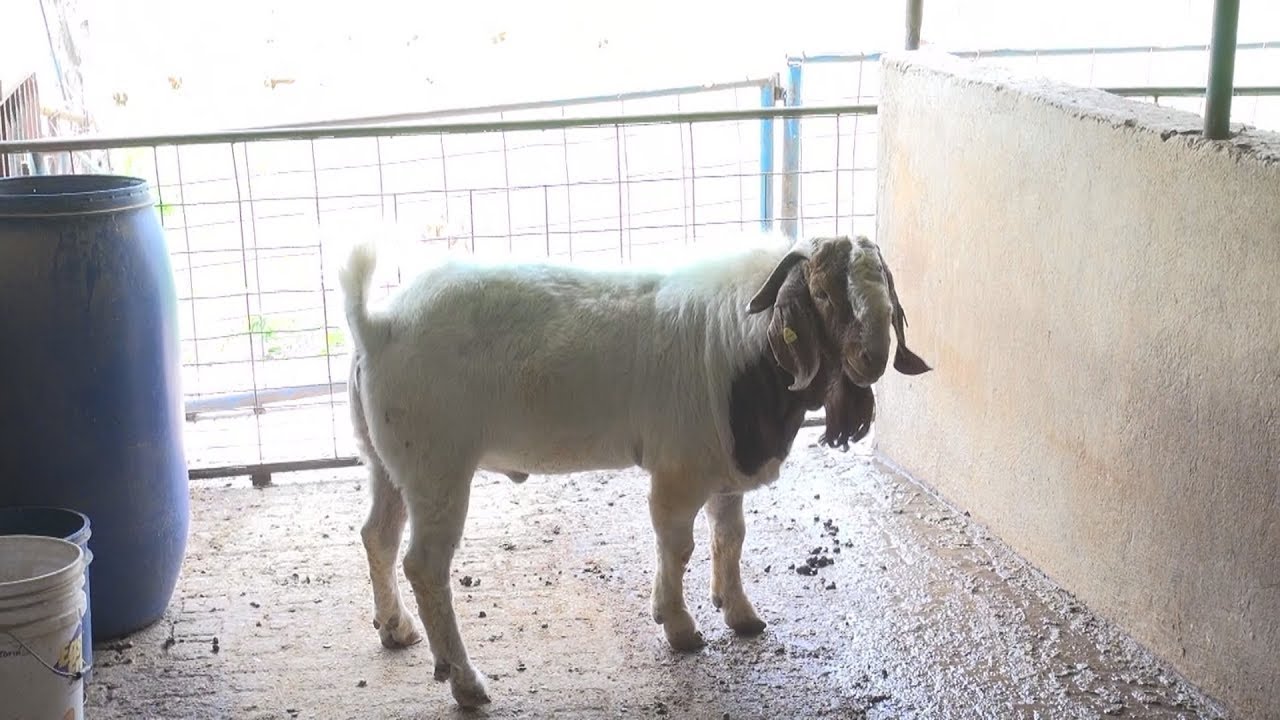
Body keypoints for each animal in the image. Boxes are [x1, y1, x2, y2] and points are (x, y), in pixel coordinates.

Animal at [339, 231, 931, 707]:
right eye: (824, 294)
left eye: (886, 287)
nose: (873, 358)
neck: (739, 350)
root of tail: (379, 326)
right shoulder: (678, 471)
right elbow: (678, 545)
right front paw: (681, 628)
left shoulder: (725, 468)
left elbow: (730, 537)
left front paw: (740, 614)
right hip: (436, 468)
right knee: (424, 565)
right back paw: (466, 682)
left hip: (386, 461)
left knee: (377, 535)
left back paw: (395, 629)